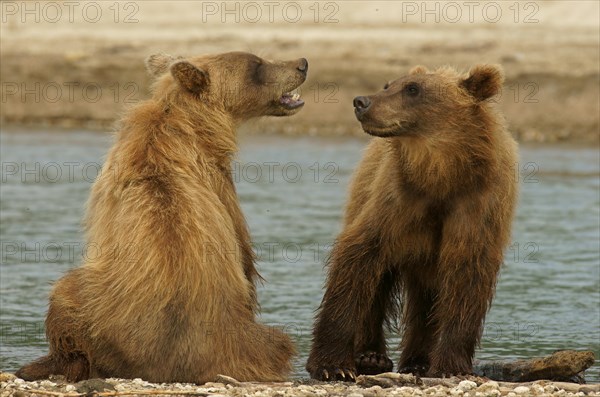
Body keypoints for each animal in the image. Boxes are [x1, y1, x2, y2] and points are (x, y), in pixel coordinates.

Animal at [308, 63, 516, 378]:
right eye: (388, 84)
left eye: (413, 89)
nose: (361, 101)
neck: (442, 175)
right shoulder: (399, 201)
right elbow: (358, 260)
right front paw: (333, 365)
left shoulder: (476, 205)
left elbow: (466, 279)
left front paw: (449, 366)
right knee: (378, 286)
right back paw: (372, 356)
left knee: (427, 297)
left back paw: (418, 360)